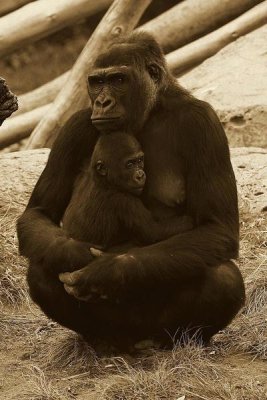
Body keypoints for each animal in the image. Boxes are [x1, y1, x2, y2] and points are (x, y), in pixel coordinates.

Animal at [62, 131, 193, 247]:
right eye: (129, 164)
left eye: (140, 160)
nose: (140, 175)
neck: (103, 180)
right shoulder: (124, 201)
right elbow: (154, 232)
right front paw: (189, 220)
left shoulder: (84, 171)